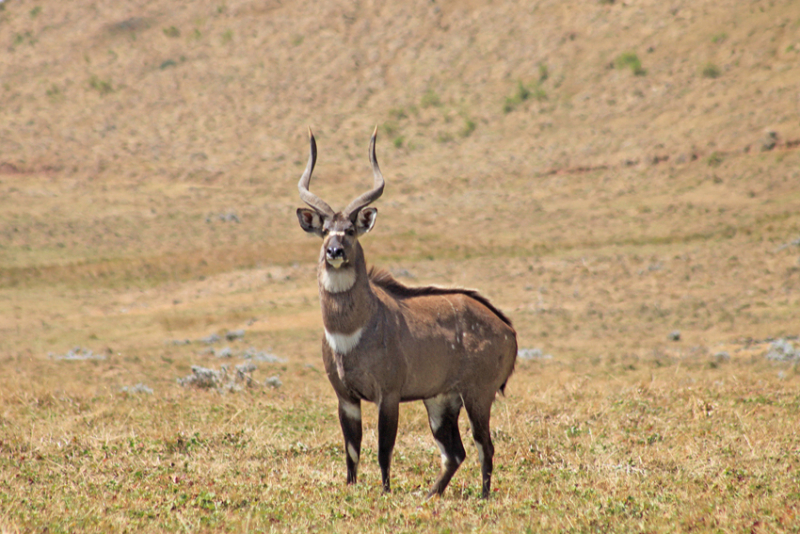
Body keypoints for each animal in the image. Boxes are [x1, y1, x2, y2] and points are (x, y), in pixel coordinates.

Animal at [296, 127, 516, 500]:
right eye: (325, 230)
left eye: (350, 230)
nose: (334, 251)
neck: (352, 331)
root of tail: (507, 330)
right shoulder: (346, 397)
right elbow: (352, 451)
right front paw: (351, 490)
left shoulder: (389, 395)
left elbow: (384, 449)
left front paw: (385, 493)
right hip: (441, 401)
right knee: (455, 452)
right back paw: (429, 495)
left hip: (478, 395)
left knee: (484, 446)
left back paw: (484, 498)